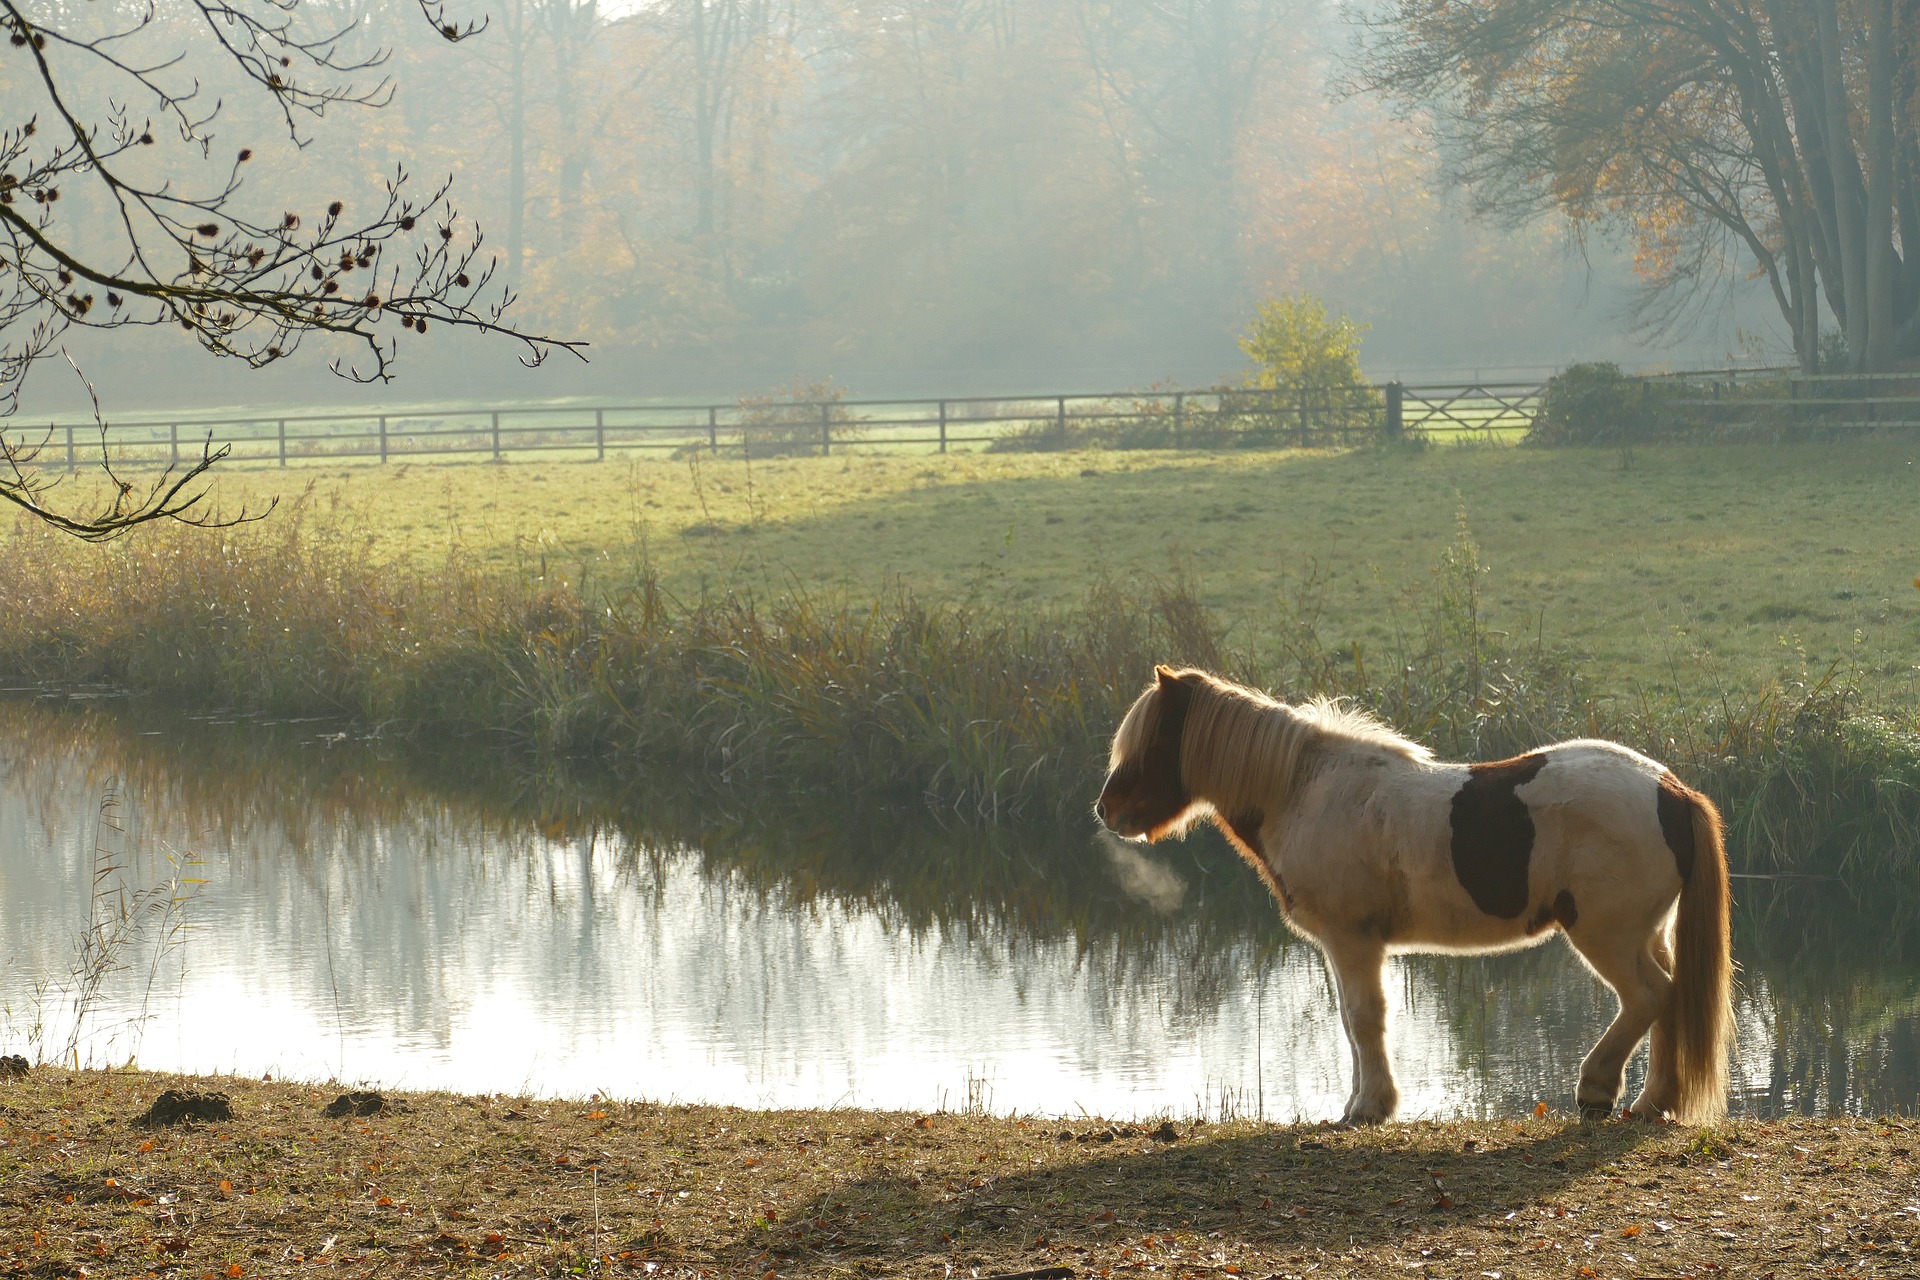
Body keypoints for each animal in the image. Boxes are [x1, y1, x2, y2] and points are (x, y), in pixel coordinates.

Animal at [1098, 667, 1743, 1128]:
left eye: (1153, 741)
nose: (1106, 810)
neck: (1307, 792)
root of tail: (1670, 789)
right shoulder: (1345, 947)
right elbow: (1351, 1020)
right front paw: (1359, 1103)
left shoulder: (1352, 940)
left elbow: (1365, 1018)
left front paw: (1369, 1108)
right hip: (1645, 933)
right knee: (1669, 1000)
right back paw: (1652, 1103)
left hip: (1606, 934)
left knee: (1648, 997)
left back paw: (1597, 1090)